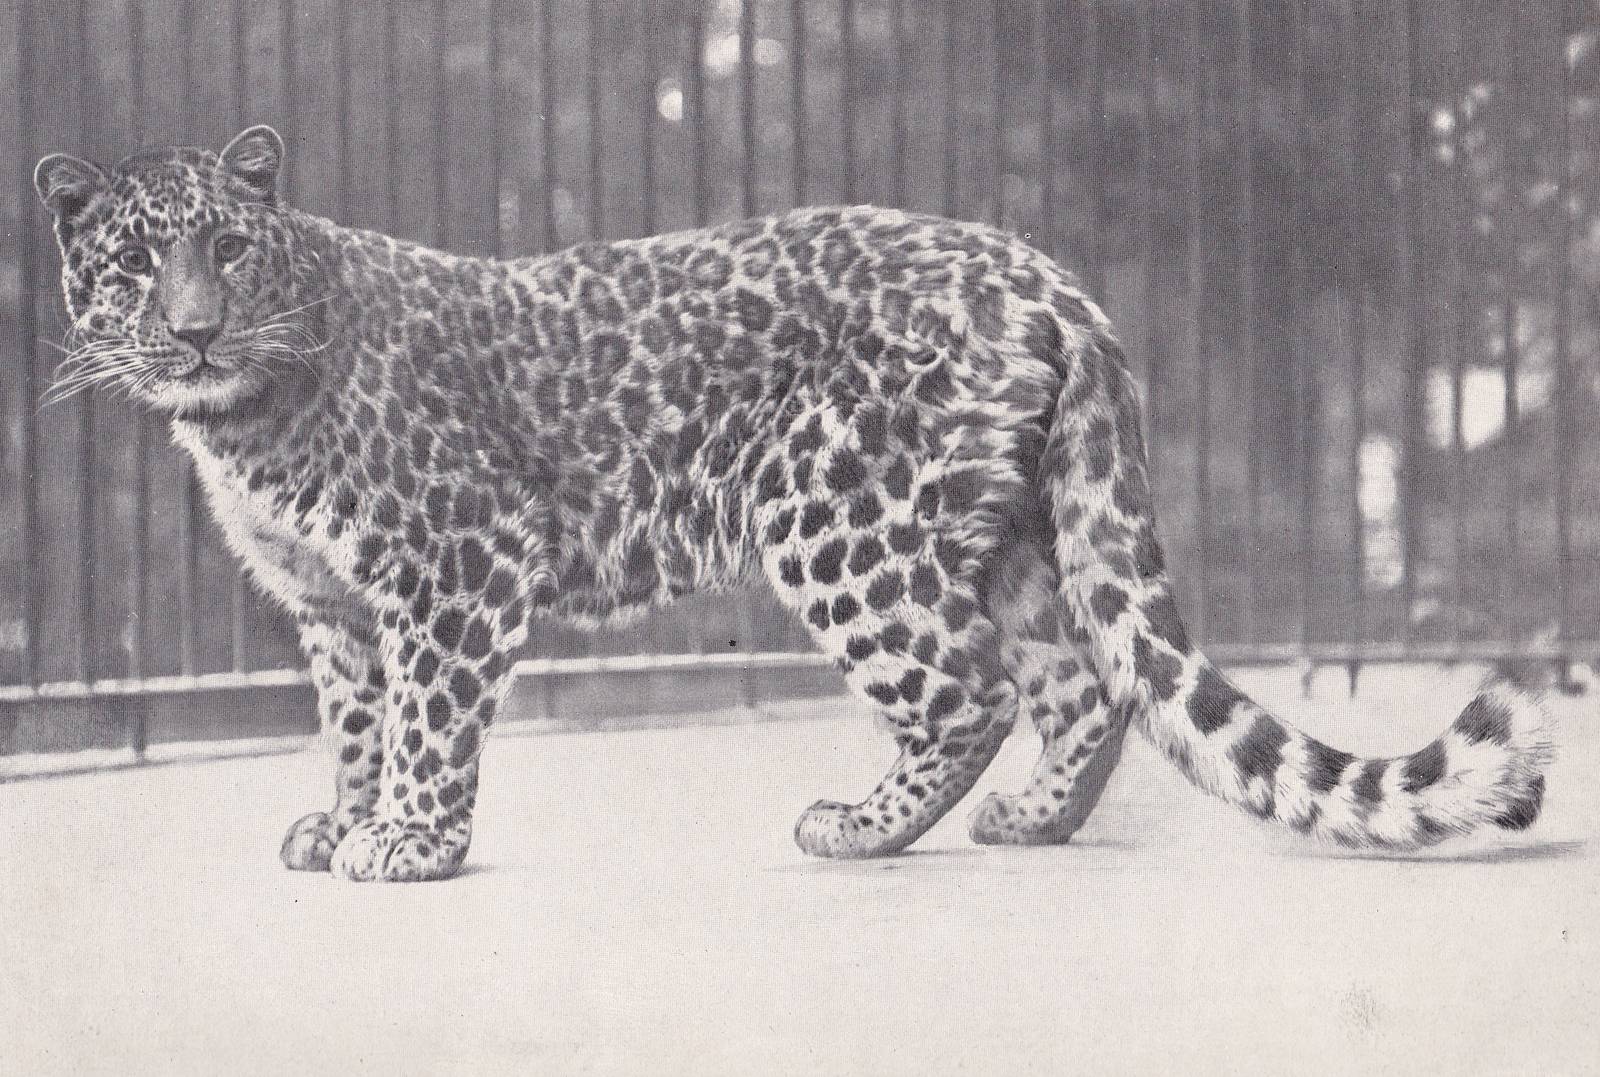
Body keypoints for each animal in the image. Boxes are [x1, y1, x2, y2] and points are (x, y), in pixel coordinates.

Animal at [33, 125, 1552, 882]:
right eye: (137, 261)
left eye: (228, 248)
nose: (193, 333)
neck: (239, 420)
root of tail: (1047, 275)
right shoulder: (336, 609)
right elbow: (354, 726)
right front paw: (342, 823)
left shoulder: (457, 572)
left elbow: (426, 726)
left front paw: (409, 842)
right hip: (1000, 525)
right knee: (1082, 681)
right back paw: (1033, 822)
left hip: (838, 519)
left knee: (970, 688)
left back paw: (861, 830)